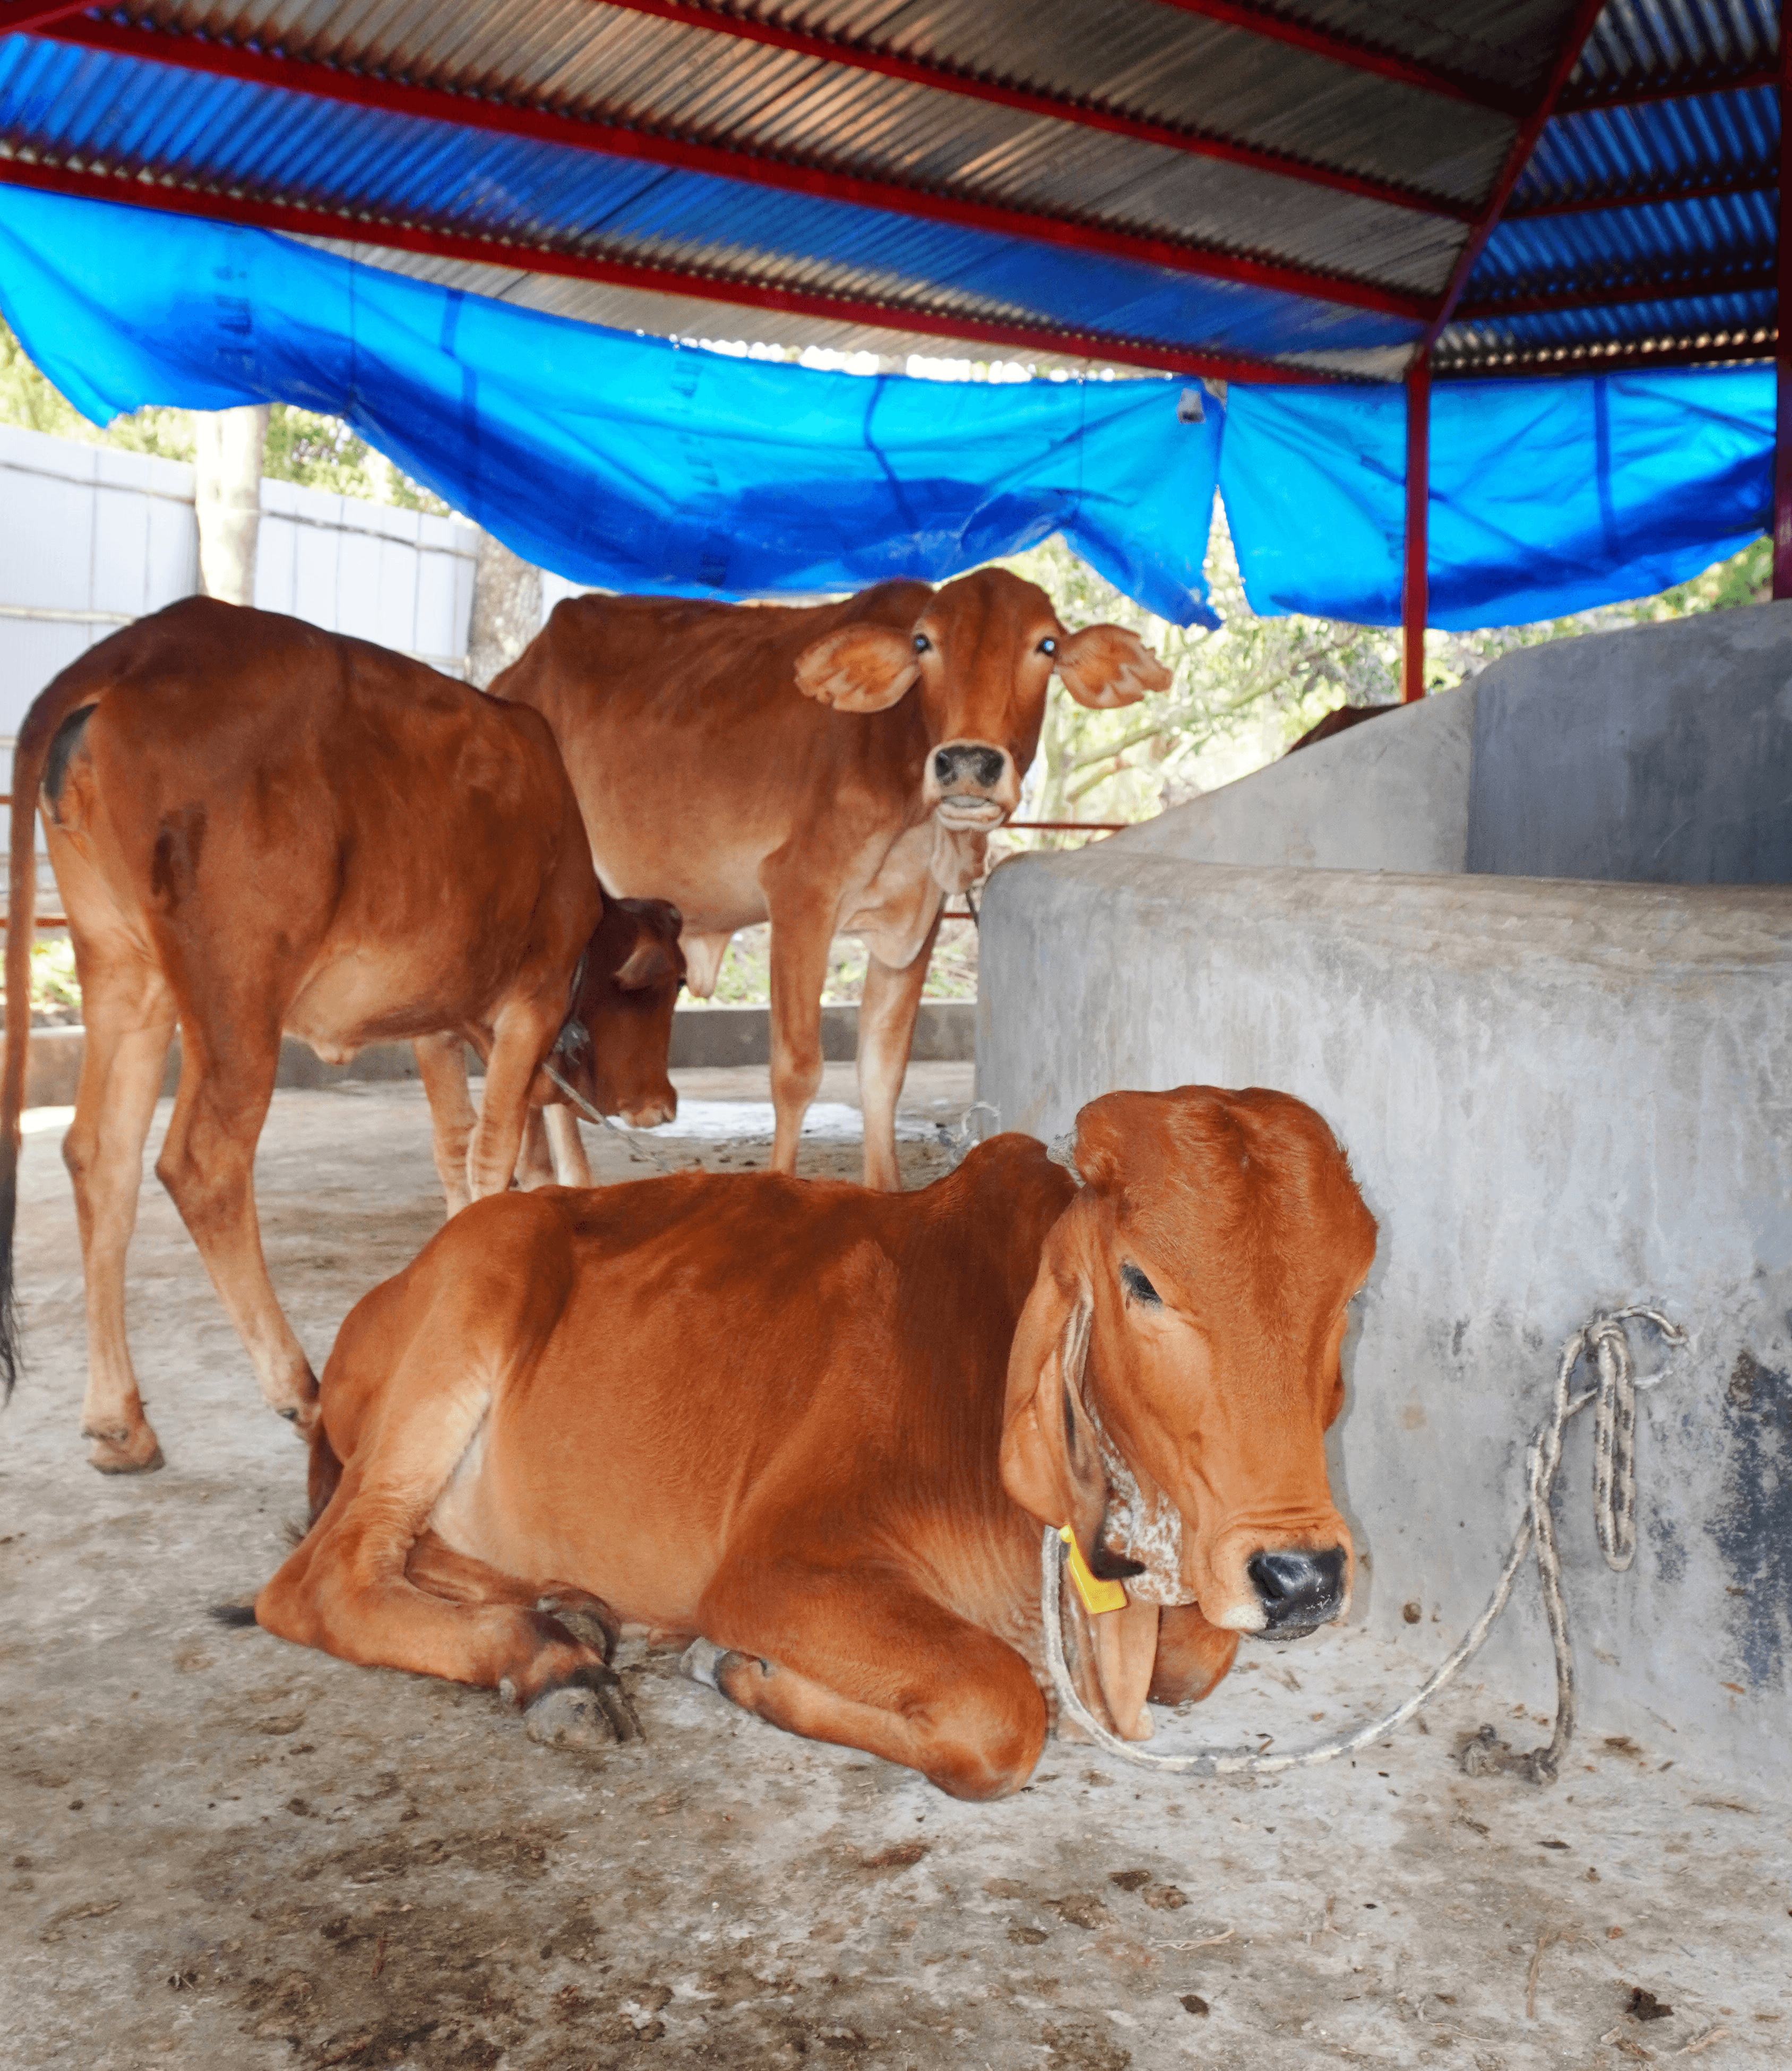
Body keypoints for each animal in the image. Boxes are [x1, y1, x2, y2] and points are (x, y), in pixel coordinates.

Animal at [0, 597, 683, 1473]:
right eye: (668, 985)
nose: (665, 1104)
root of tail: (129, 652)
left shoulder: (439, 1022)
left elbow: (457, 1149)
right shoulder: (528, 1003)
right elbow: (492, 1152)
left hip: (123, 970)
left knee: (100, 1158)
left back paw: (119, 1421)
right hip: (237, 994)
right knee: (201, 1165)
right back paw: (302, 1391)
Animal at [249, 1084, 1378, 1800]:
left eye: (1353, 1289)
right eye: (1141, 1281)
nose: (1302, 1577)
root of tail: (388, 1289)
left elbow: (1197, 1660)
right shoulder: (776, 1565)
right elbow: (1003, 1711)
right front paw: (742, 1672)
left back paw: (568, 1612)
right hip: (479, 1290)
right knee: (322, 1577)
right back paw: (552, 1660)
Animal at [452, 568, 1170, 1190]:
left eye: (1045, 644)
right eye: (924, 643)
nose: (968, 763)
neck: (919, 821)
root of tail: (513, 675)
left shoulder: (916, 924)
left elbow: (882, 1070)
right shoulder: (801, 896)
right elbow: (796, 1070)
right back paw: (556, 1180)